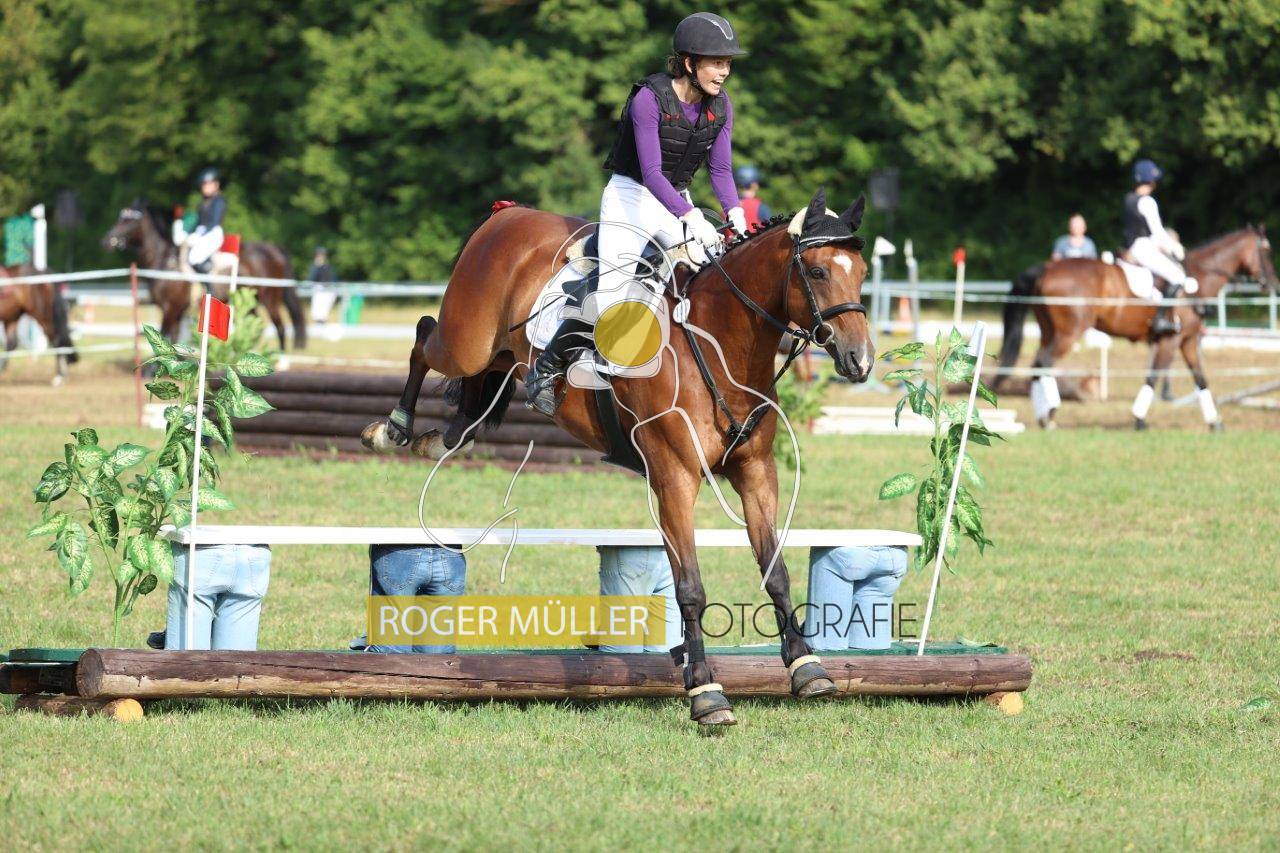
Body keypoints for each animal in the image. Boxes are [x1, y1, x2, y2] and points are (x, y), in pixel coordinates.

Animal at [102, 201, 308, 350]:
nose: (105, 241)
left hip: (269, 298)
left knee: (280, 327)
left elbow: (163, 334)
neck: (165, 261)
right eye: (121, 217)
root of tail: (273, 249)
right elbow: (172, 339)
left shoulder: (170, 309)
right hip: (250, 302)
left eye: (130, 220)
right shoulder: (177, 311)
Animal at [361, 188, 874, 727]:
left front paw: (807, 667)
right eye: (816, 272)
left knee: (470, 408)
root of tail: (508, 215)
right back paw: (392, 429)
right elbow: (689, 588)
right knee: (423, 336)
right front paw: (705, 692)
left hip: (500, 359)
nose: (859, 361)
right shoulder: (674, 479)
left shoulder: (756, 474)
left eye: (861, 272)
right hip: (468, 342)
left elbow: (775, 570)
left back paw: (438, 439)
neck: (718, 347)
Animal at [997, 226, 1278, 429]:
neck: (1196, 281)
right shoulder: (1170, 341)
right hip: (1069, 333)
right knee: (1044, 362)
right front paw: (1139, 419)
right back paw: (1050, 413)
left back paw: (1044, 416)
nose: (1274, 284)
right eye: (1266, 251)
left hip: (1049, 331)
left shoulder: (1187, 341)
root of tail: (1048, 267)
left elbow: (1200, 379)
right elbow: (1153, 376)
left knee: (1036, 364)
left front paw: (1215, 422)